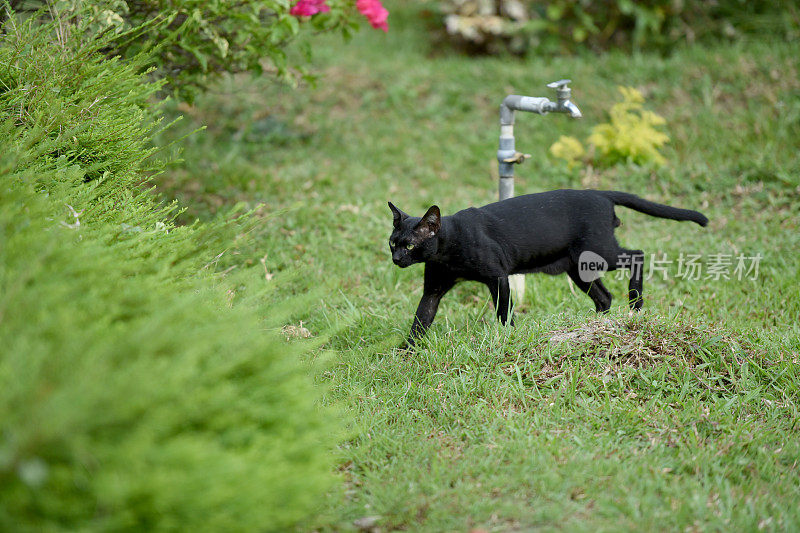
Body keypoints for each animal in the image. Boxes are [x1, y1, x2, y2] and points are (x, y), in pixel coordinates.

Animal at [388, 189, 708, 348]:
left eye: (411, 246)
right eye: (392, 243)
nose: (397, 259)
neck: (448, 250)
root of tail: (600, 193)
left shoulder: (498, 277)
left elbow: (504, 313)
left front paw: (508, 340)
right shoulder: (433, 290)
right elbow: (420, 321)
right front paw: (406, 353)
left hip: (599, 253)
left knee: (638, 255)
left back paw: (636, 302)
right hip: (580, 268)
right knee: (604, 297)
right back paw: (597, 326)